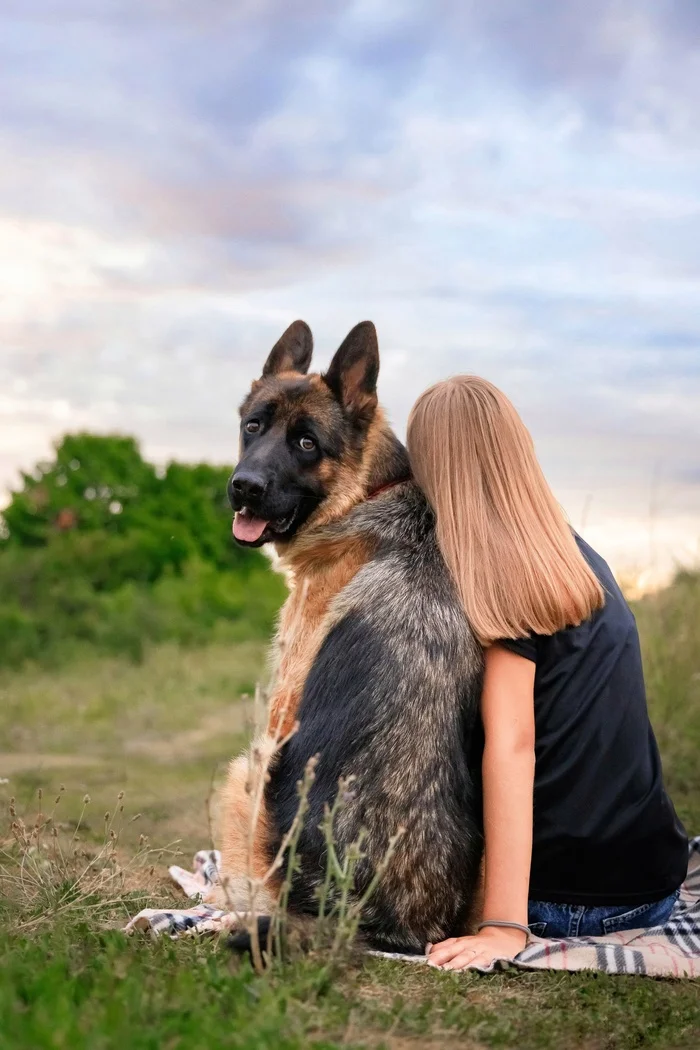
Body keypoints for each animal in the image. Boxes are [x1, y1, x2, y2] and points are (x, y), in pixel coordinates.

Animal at [216, 319, 484, 953]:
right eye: (253, 426)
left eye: (307, 443)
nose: (244, 487)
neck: (366, 493)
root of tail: (384, 926)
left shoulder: (281, 709)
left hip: (243, 775)